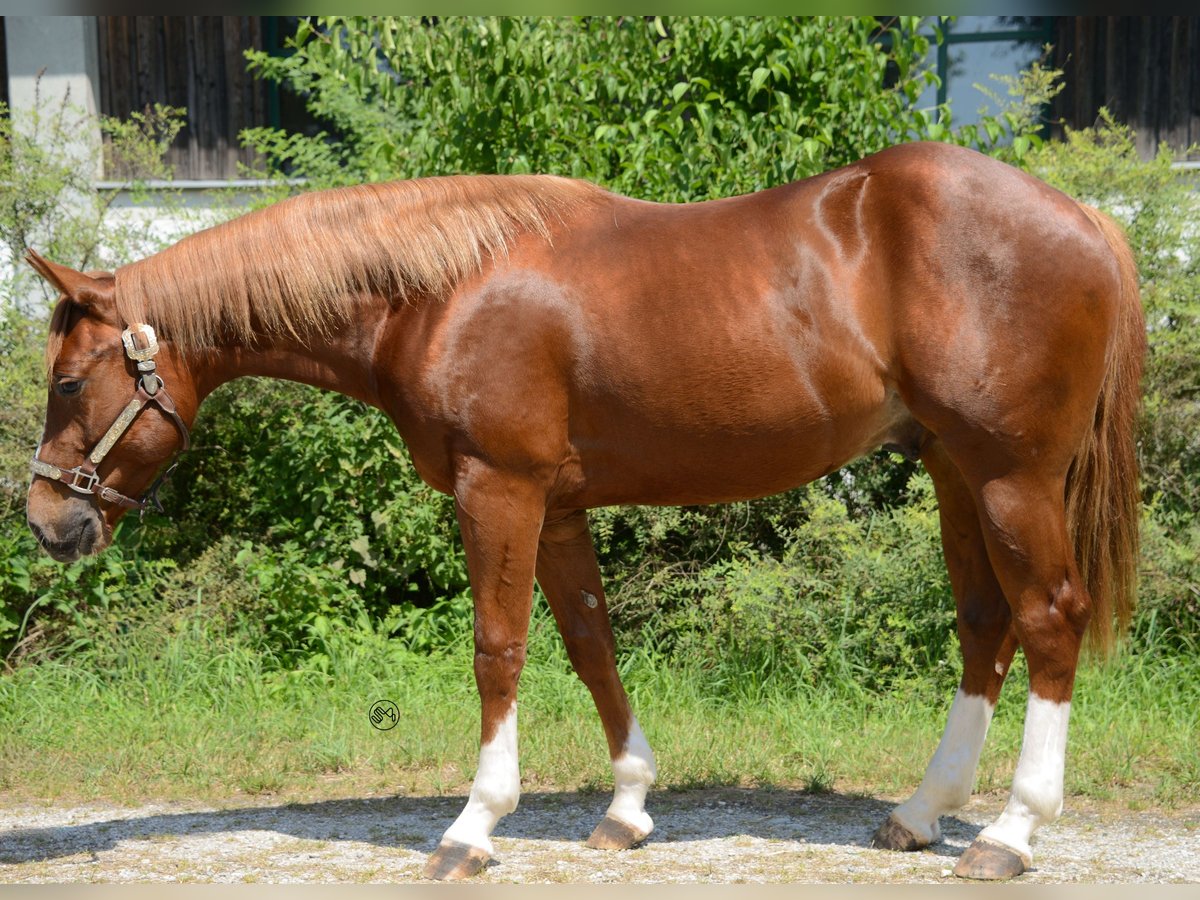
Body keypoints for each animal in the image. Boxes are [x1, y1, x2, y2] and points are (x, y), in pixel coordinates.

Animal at [23, 144, 1137, 883]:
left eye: (70, 382)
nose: (45, 521)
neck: (438, 292)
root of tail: (1091, 221)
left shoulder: (499, 489)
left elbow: (498, 649)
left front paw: (474, 826)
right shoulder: (555, 508)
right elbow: (592, 644)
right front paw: (628, 808)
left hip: (1012, 477)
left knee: (1050, 620)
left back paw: (1009, 833)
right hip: (955, 469)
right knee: (986, 624)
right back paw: (922, 813)